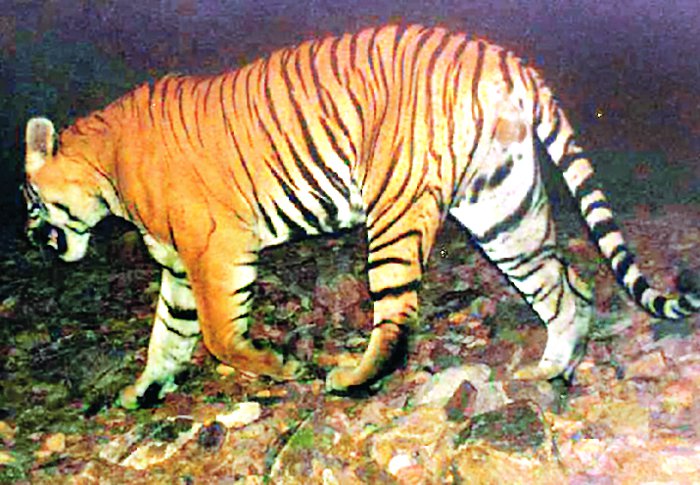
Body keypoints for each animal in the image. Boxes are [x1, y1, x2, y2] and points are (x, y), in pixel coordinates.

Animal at [23, 24, 698, 409]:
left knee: (397, 315)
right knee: (566, 287)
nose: (31, 239)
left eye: (27, 198)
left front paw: (278, 366)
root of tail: (500, 57)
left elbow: (216, 335)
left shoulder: (217, 248)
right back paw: (554, 367)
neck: (105, 169)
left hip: (395, 205)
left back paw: (350, 378)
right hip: (503, 207)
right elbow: (168, 334)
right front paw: (141, 391)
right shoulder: (179, 266)